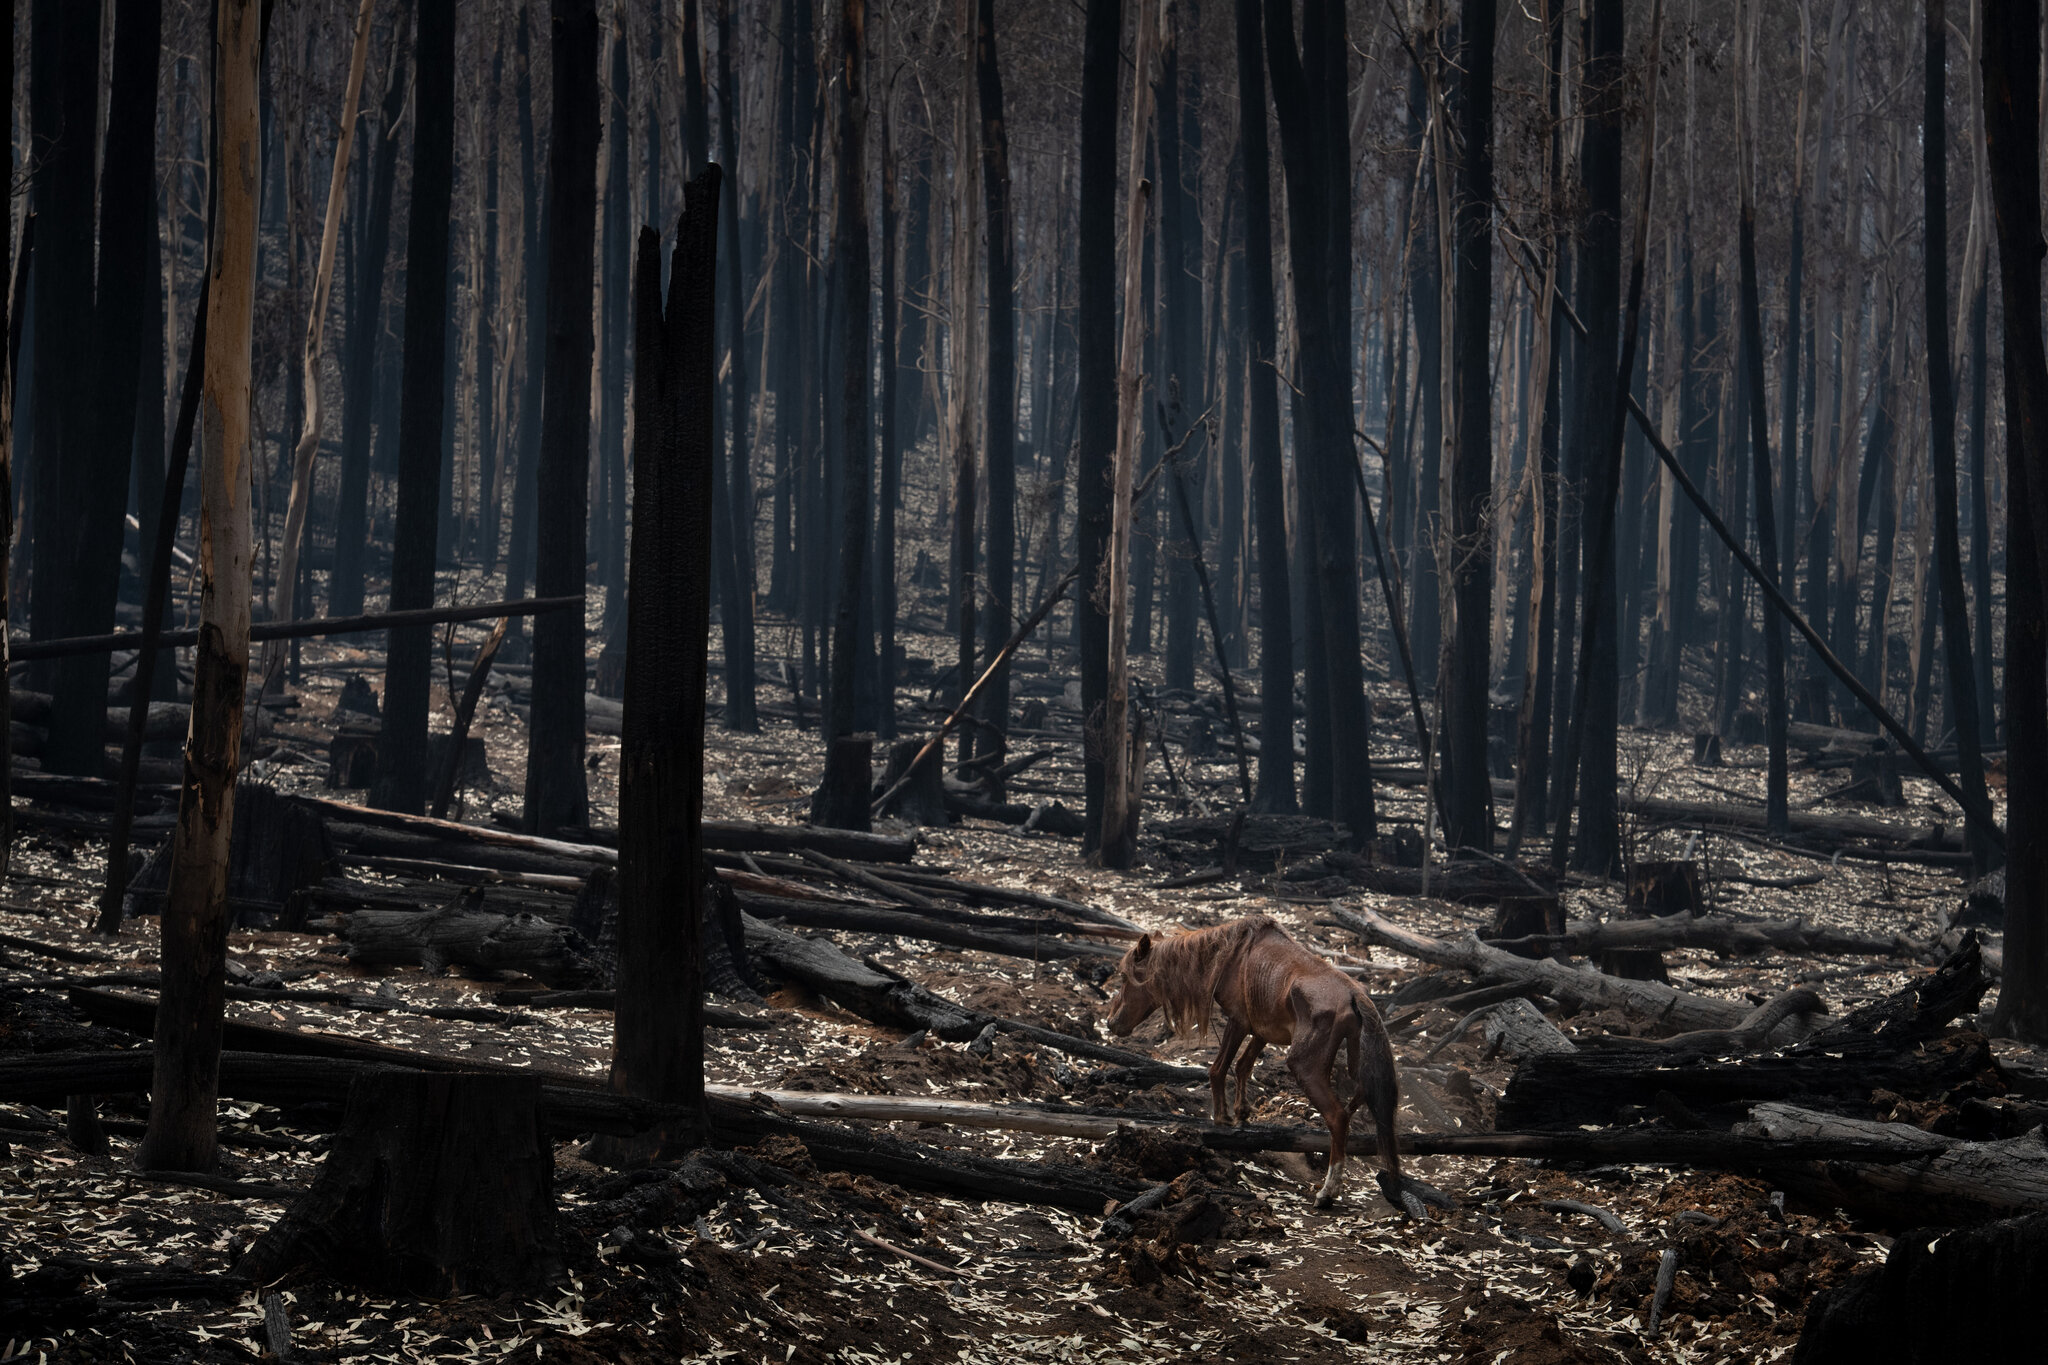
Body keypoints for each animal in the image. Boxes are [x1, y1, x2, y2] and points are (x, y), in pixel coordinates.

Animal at [1105, 916, 1409, 1203]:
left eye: (1125, 977)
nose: (1110, 1023)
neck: (1229, 957)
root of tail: (1355, 994)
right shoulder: (1261, 1028)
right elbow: (1242, 1066)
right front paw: (1241, 1113)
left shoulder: (1238, 1021)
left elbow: (1219, 1068)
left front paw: (1222, 1117)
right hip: (1355, 1058)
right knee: (1363, 1094)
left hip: (1304, 1066)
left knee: (1338, 1117)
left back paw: (1328, 1191)